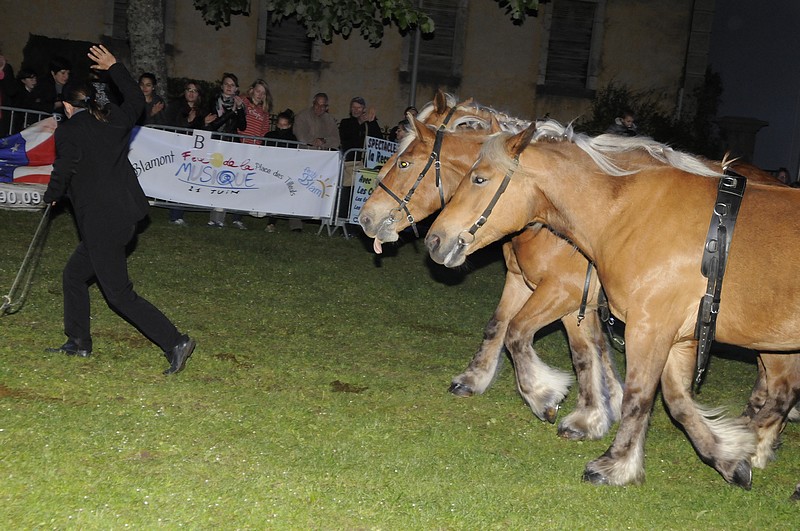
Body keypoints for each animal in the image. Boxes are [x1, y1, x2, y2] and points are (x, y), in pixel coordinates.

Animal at [360, 94, 623, 439]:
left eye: (404, 162)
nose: (366, 217)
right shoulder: (523, 280)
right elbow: (500, 326)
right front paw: (474, 378)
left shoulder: (568, 294)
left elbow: (581, 351)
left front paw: (579, 411)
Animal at [425, 120, 800, 489]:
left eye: (479, 178)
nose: (433, 240)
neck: (630, 213)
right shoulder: (675, 335)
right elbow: (676, 401)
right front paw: (727, 456)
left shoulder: (642, 325)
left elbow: (637, 395)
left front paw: (612, 460)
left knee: (780, 392)